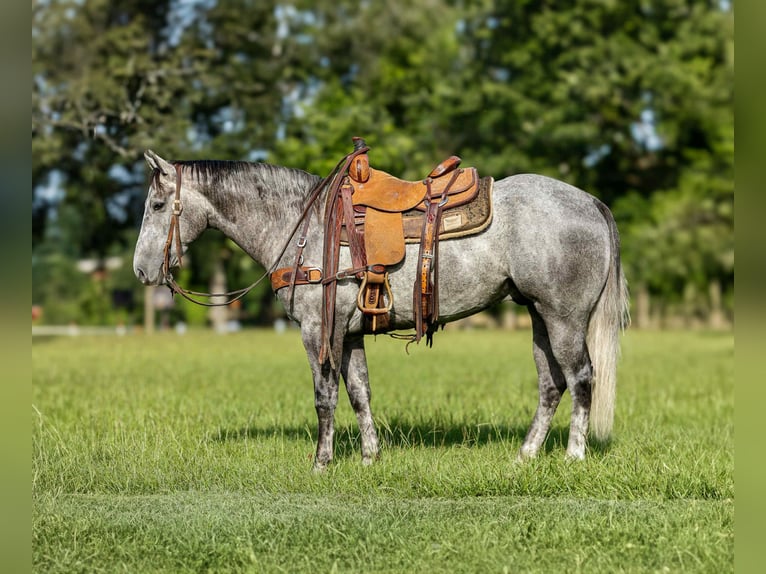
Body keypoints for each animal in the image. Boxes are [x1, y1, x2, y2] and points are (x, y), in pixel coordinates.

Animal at [133, 148, 629, 470]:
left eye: (157, 204)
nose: (141, 270)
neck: (305, 228)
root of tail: (591, 202)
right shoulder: (350, 334)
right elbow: (359, 393)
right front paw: (369, 457)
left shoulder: (319, 331)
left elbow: (325, 396)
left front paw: (322, 462)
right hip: (539, 316)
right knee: (551, 384)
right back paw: (525, 456)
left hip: (564, 318)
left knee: (581, 378)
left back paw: (574, 455)